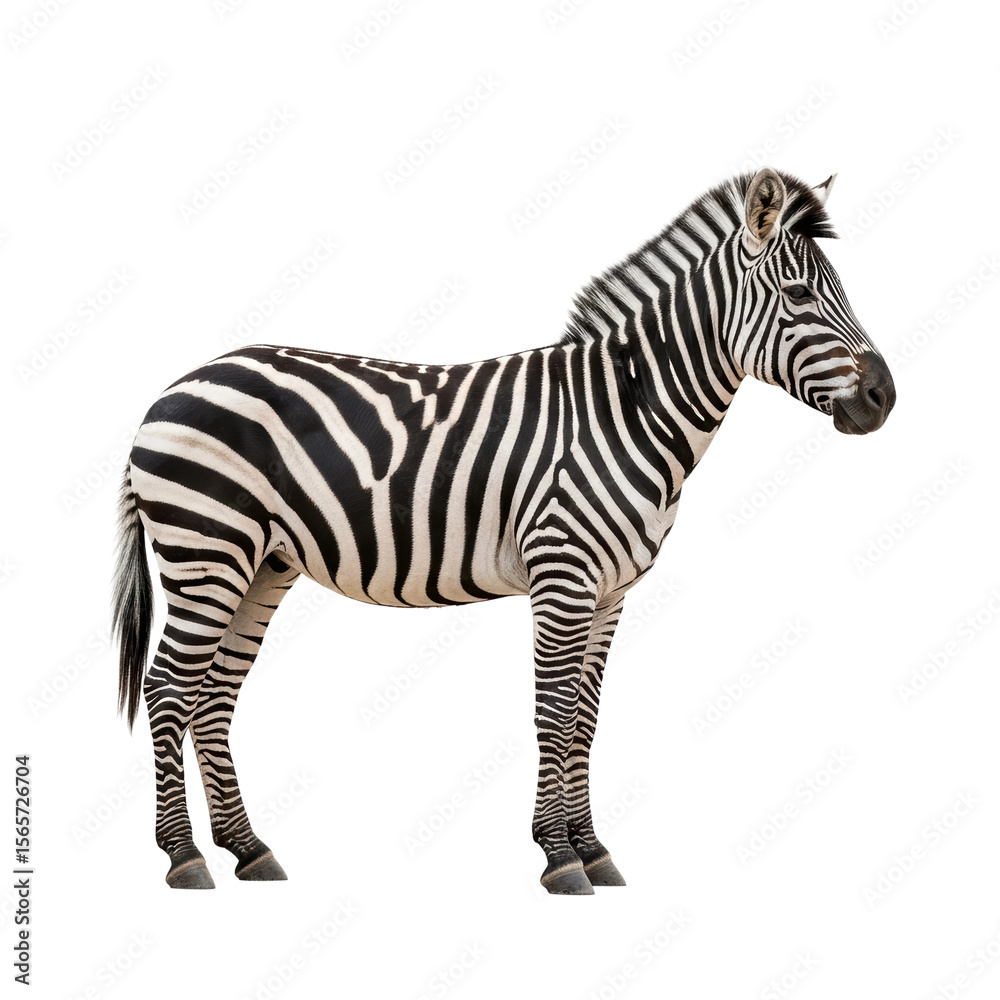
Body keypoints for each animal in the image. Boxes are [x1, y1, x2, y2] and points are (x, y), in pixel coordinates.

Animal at [112, 167, 895, 894]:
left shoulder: (611, 592)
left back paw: (249, 850)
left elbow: (586, 716)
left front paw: (593, 850)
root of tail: (172, 388)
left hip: (262, 562)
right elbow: (554, 711)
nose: (885, 397)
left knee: (213, 694)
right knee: (168, 687)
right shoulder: (563, 574)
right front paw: (559, 857)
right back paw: (184, 858)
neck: (627, 410)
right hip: (207, 549)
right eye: (800, 295)